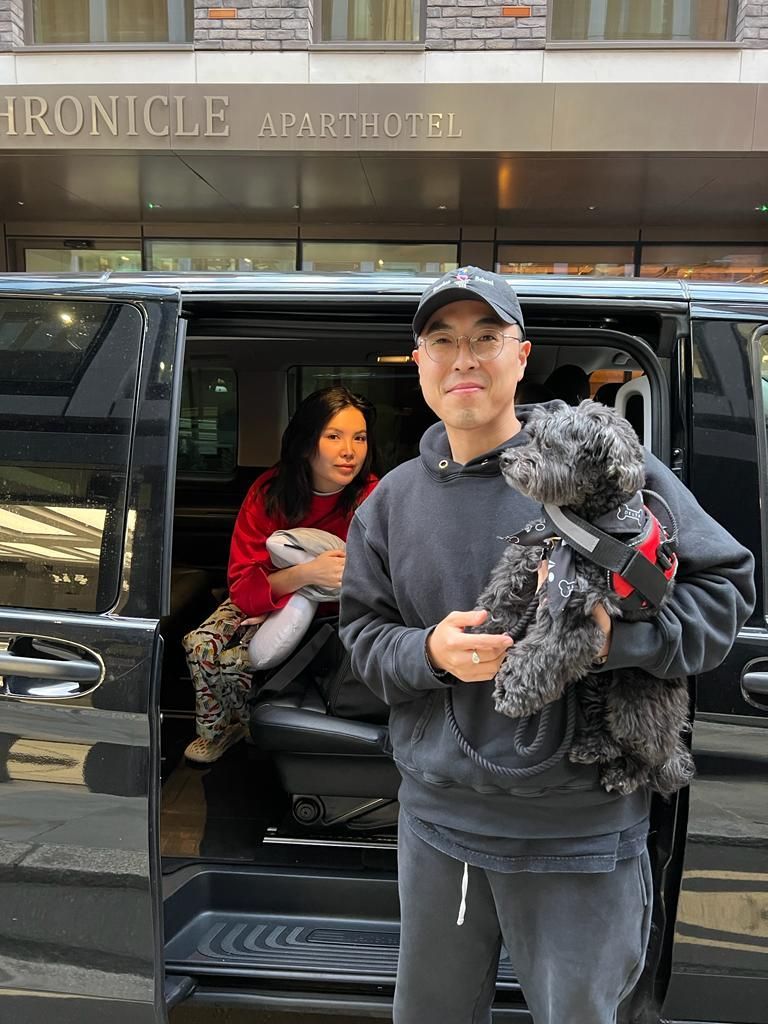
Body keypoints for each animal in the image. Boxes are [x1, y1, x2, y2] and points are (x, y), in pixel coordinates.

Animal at [473, 399, 694, 797]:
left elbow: (542, 649)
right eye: (532, 437)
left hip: (636, 703)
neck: (585, 528)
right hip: (592, 682)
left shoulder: (576, 611)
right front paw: (479, 632)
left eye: (550, 446)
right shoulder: (535, 555)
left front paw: (513, 686)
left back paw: (625, 773)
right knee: (597, 718)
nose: (506, 459)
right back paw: (592, 747)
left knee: (646, 749)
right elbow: (503, 595)